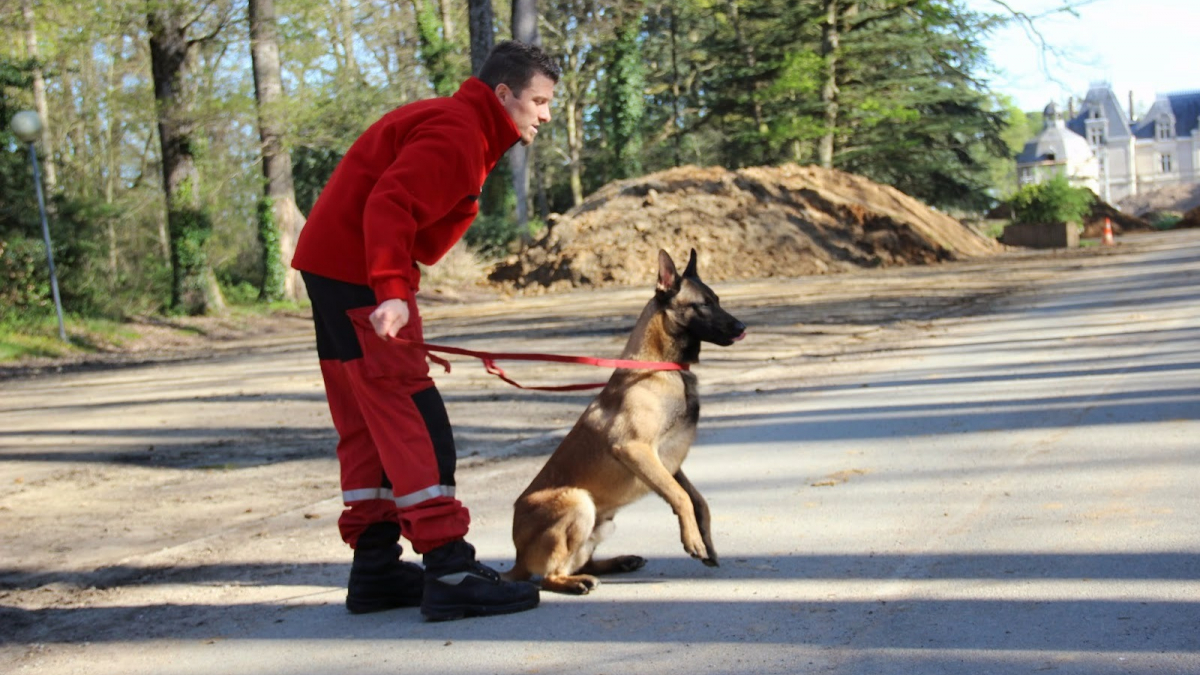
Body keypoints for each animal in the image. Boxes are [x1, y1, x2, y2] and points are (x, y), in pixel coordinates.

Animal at [501, 249, 744, 590]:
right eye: (704, 304)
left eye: (718, 300)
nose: (741, 326)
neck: (662, 366)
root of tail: (518, 558)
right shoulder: (635, 449)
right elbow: (681, 497)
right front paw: (693, 541)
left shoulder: (668, 462)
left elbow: (699, 501)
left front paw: (705, 541)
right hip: (579, 502)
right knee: (550, 575)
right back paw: (574, 583)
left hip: (603, 523)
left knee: (580, 562)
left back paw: (618, 562)